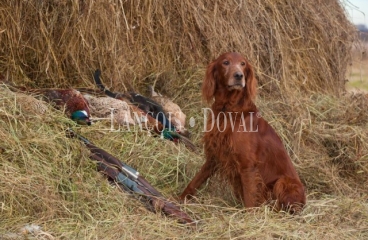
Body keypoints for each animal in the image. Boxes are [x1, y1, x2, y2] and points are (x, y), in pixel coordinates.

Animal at [180, 52, 306, 212]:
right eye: (225, 62)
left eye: (243, 64)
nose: (239, 76)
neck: (228, 110)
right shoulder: (214, 156)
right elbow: (196, 180)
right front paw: (179, 199)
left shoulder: (248, 166)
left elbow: (250, 199)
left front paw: (249, 217)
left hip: (283, 182)